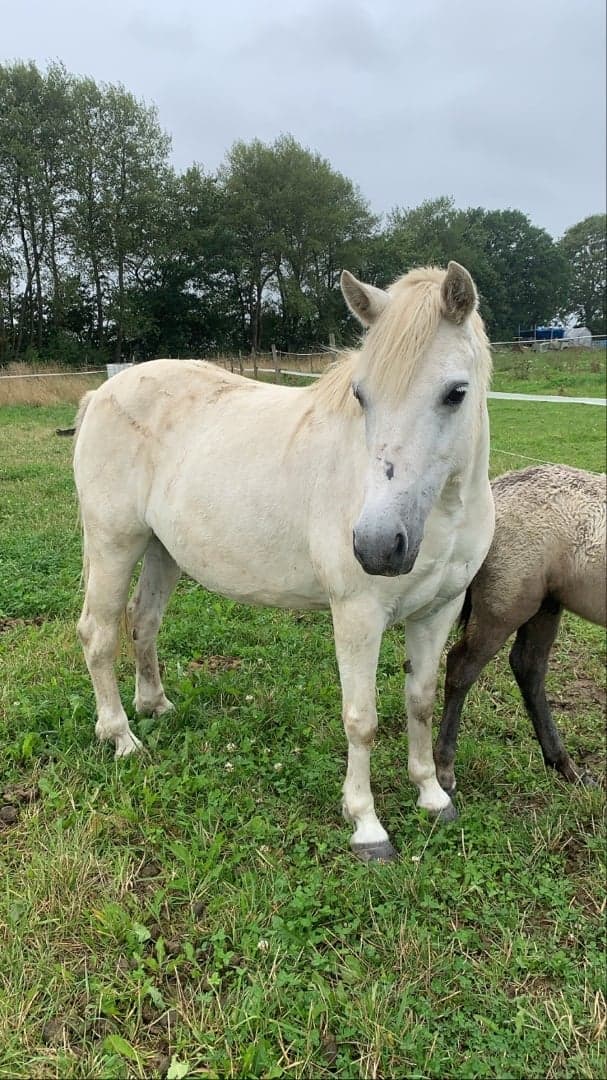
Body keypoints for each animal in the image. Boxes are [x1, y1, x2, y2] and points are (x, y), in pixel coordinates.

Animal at [74, 261, 492, 859]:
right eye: (361, 395)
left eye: (455, 393)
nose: (376, 545)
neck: (444, 512)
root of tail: (105, 391)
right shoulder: (358, 616)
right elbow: (362, 720)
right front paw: (367, 825)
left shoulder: (438, 611)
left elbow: (421, 702)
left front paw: (432, 797)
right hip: (113, 542)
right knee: (99, 633)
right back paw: (121, 737)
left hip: (161, 551)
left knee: (143, 622)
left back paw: (155, 707)